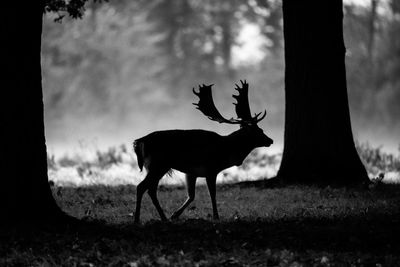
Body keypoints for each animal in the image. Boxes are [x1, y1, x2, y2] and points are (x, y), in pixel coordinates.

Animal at [133, 80, 274, 224]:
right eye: (259, 131)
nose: (271, 140)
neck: (227, 150)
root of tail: (139, 141)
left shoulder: (191, 172)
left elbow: (191, 195)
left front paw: (175, 215)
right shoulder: (211, 169)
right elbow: (212, 194)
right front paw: (216, 216)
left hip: (155, 166)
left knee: (151, 190)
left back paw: (163, 217)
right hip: (158, 164)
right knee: (142, 187)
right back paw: (138, 218)